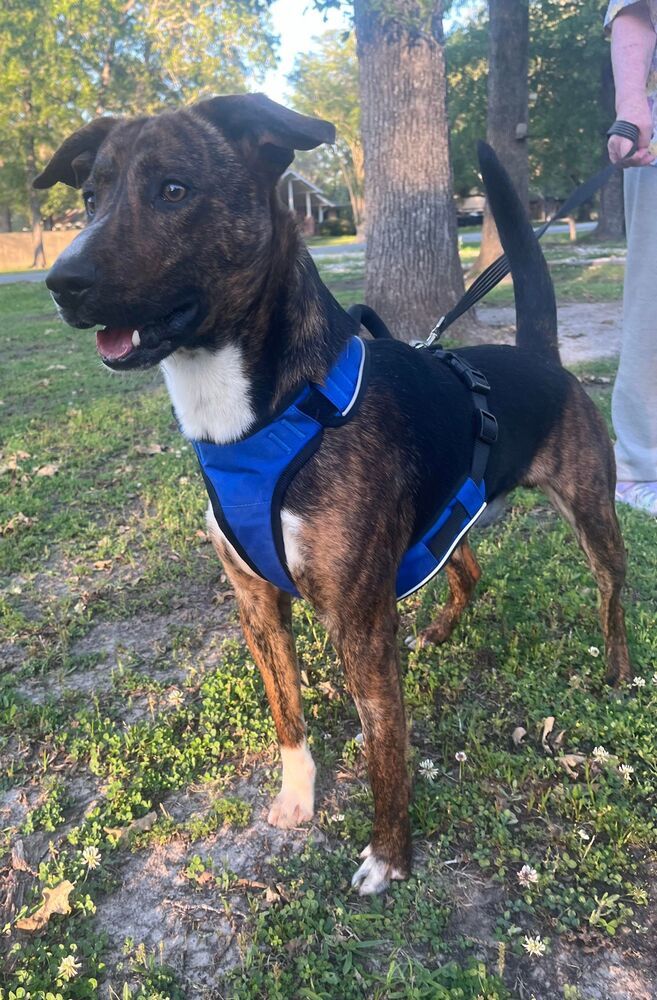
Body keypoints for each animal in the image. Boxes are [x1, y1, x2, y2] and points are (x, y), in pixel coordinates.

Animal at [36, 92, 632, 892]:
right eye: (90, 197)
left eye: (174, 190)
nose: (62, 282)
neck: (272, 412)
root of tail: (539, 357)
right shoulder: (257, 603)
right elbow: (287, 711)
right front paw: (298, 794)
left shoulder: (361, 622)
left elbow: (386, 752)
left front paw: (390, 856)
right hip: (439, 524)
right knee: (468, 568)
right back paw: (442, 631)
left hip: (590, 513)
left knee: (611, 592)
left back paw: (618, 670)